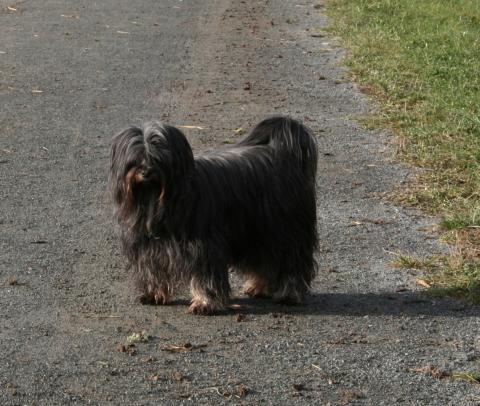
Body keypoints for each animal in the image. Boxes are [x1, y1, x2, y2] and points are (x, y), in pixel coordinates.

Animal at [109, 116, 318, 316]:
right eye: (134, 160)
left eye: (158, 159)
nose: (145, 172)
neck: (156, 198)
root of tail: (284, 154)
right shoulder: (149, 246)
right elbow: (153, 268)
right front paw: (154, 293)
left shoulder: (204, 247)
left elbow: (205, 276)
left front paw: (204, 303)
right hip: (256, 232)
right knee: (263, 259)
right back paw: (258, 287)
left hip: (284, 230)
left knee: (291, 260)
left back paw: (289, 294)